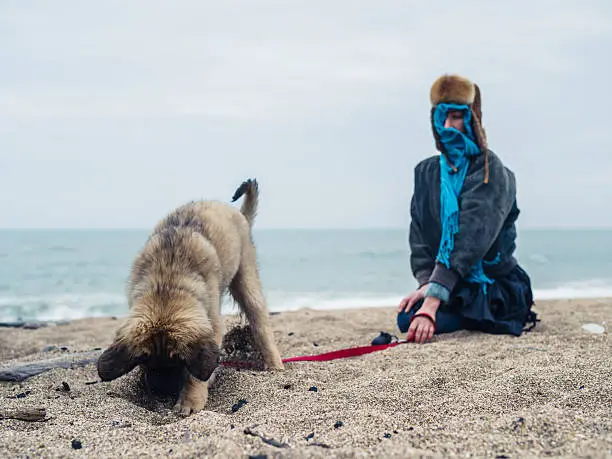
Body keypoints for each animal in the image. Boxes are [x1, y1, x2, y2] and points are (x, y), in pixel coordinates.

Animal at [97, 180, 284, 416]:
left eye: (180, 361)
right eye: (145, 359)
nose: (162, 393)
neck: (166, 284)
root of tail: (238, 214)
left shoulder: (212, 323)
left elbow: (198, 374)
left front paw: (190, 400)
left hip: (247, 278)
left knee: (260, 324)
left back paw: (274, 364)